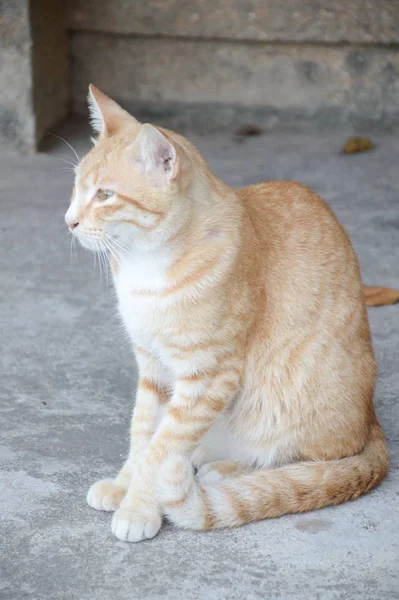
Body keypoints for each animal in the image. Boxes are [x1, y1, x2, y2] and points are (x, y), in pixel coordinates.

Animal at [66, 85, 390, 544]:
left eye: (105, 195)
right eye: (77, 188)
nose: (69, 221)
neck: (144, 269)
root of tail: (370, 417)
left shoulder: (209, 375)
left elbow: (163, 446)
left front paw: (139, 506)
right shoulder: (153, 368)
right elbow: (143, 433)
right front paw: (124, 484)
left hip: (286, 398)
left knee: (304, 461)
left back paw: (223, 470)